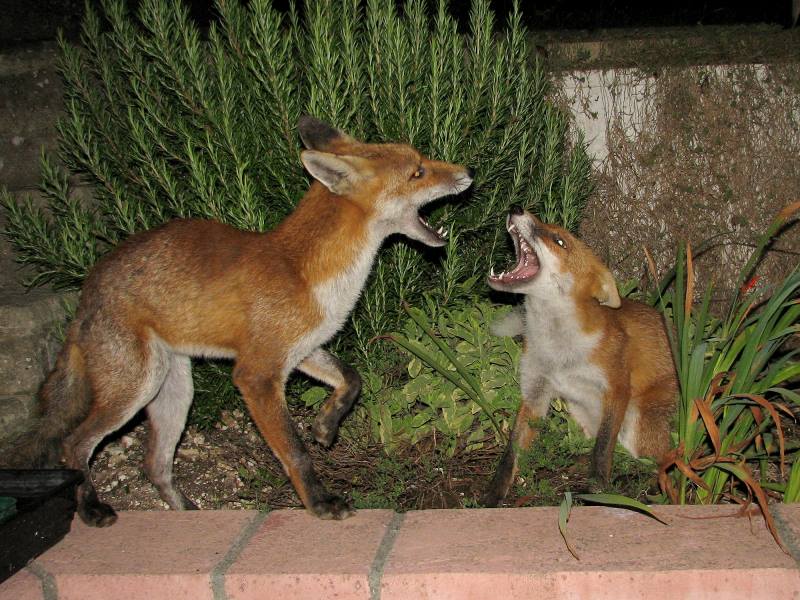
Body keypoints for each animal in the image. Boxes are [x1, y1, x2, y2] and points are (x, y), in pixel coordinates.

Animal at [3, 116, 473, 526]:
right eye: (418, 171)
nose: (469, 171)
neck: (308, 272)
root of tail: (89, 289)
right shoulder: (257, 373)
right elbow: (295, 452)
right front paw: (319, 503)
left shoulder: (302, 349)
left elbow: (351, 379)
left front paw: (325, 425)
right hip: (136, 387)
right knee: (73, 444)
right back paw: (91, 509)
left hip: (174, 391)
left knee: (154, 464)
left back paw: (186, 514)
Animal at [482, 206, 676, 506]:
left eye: (559, 241)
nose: (516, 208)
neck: (558, 353)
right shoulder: (535, 390)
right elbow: (511, 453)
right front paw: (493, 495)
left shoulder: (617, 387)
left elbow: (602, 450)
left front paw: (598, 492)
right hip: (579, 410)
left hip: (640, 418)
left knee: (661, 464)